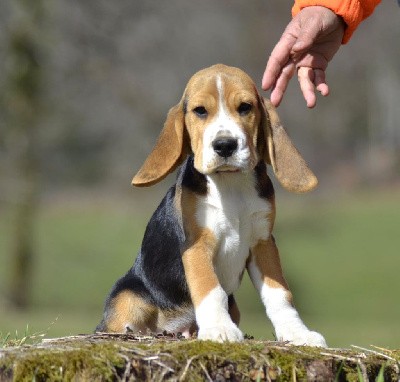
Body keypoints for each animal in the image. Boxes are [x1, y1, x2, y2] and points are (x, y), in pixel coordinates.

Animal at [97, 65, 328, 346]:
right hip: (126, 299)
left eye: (244, 107)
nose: (225, 145)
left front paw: (297, 333)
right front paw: (220, 329)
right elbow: (210, 289)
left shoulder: (263, 243)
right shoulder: (198, 244)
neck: (230, 184)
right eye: (200, 111)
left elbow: (279, 294)